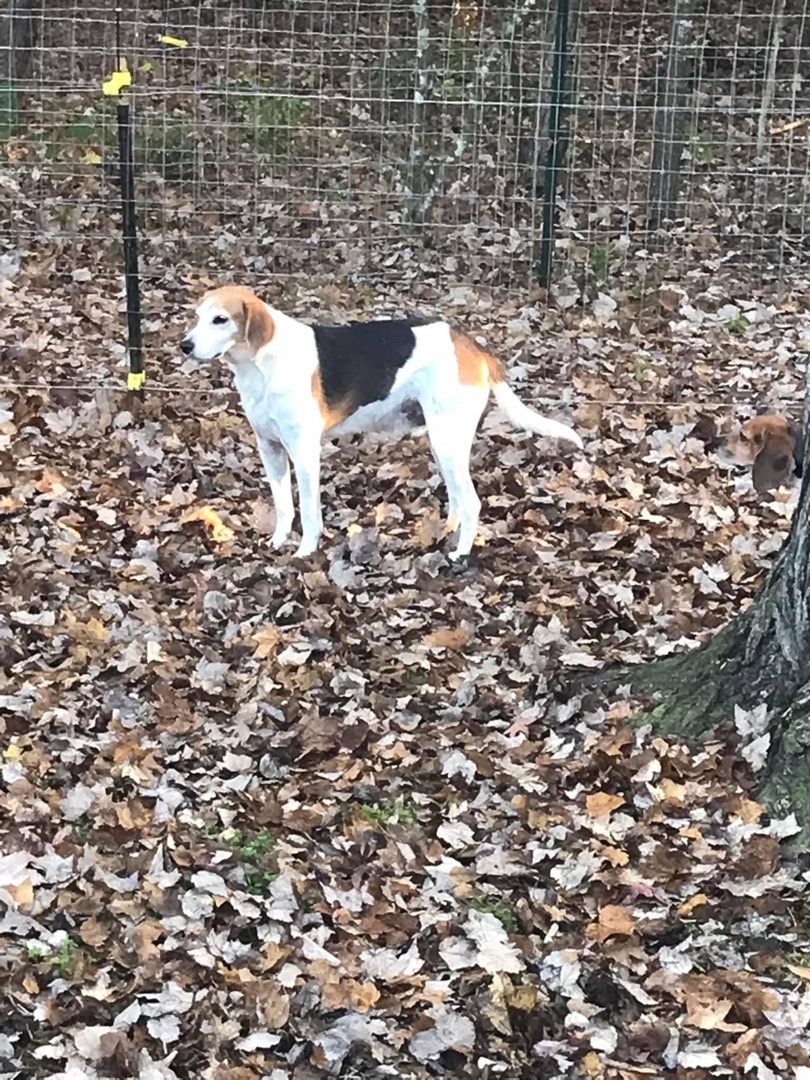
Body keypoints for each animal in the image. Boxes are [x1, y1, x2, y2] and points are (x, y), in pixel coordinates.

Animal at [182, 285, 583, 557]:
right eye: (198, 316)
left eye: (221, 319)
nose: (185, 345)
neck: (262, 363)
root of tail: (472, 346)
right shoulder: (270, 448)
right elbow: (284, 505)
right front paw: (279, 540)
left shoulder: (304, 452)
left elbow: (309, 511)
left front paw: (305, 552)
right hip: (443, 442)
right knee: (457, 498)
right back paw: (445, 533)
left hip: (447, 441)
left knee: (471, 502)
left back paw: (461, 552)